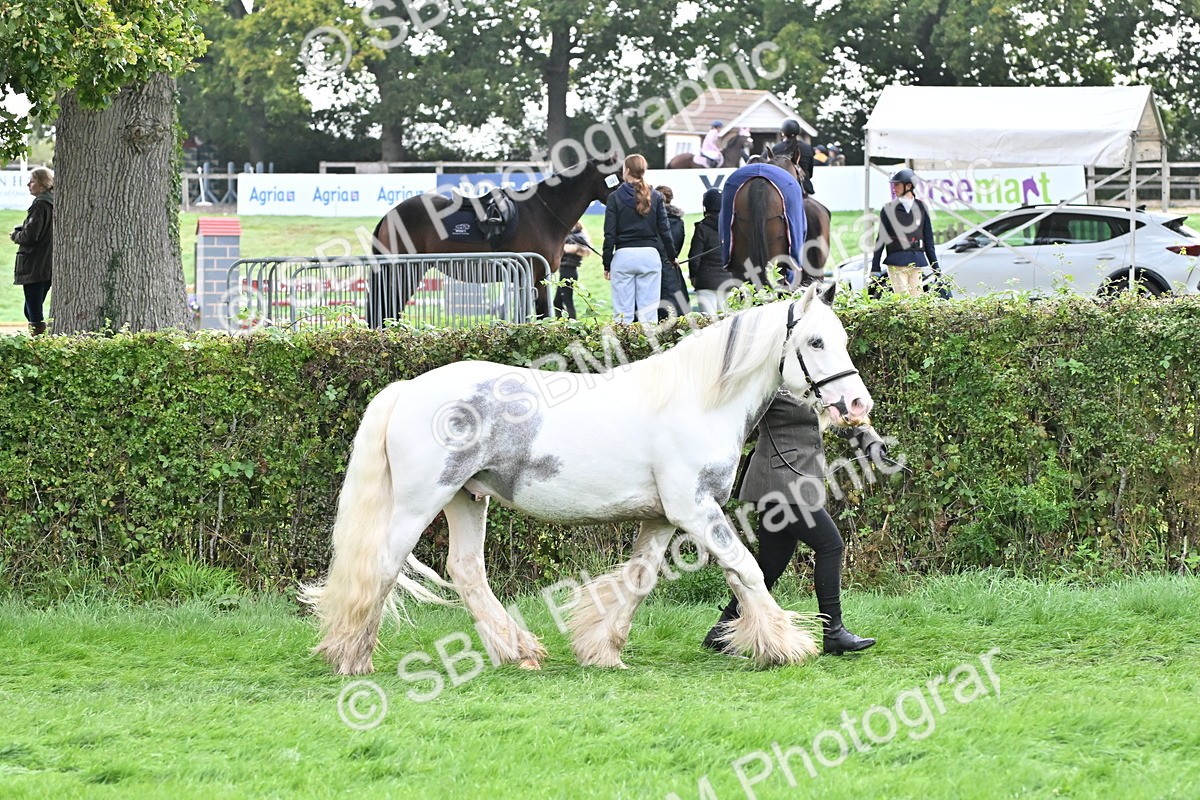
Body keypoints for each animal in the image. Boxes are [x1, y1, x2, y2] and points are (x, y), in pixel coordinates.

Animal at [300, 282, 873, 675]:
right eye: (815, 341)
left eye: (842, 338)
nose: (856, 405)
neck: (697, 400)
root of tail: (407, 389)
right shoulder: (695, 509)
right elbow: (747, 570)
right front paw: (786, 644)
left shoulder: (663, 518)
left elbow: (639, 580)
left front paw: (603, 651)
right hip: (420, 503)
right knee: (381, 567)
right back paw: (352, 658)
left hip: (467, 499)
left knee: (465, 571)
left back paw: (519, 651)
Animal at [368, 155, 622, 322]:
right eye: (619, 175)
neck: (543, 212)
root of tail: (389, 215)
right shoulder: (532, 273)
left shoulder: (538, 276)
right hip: (403, 272)